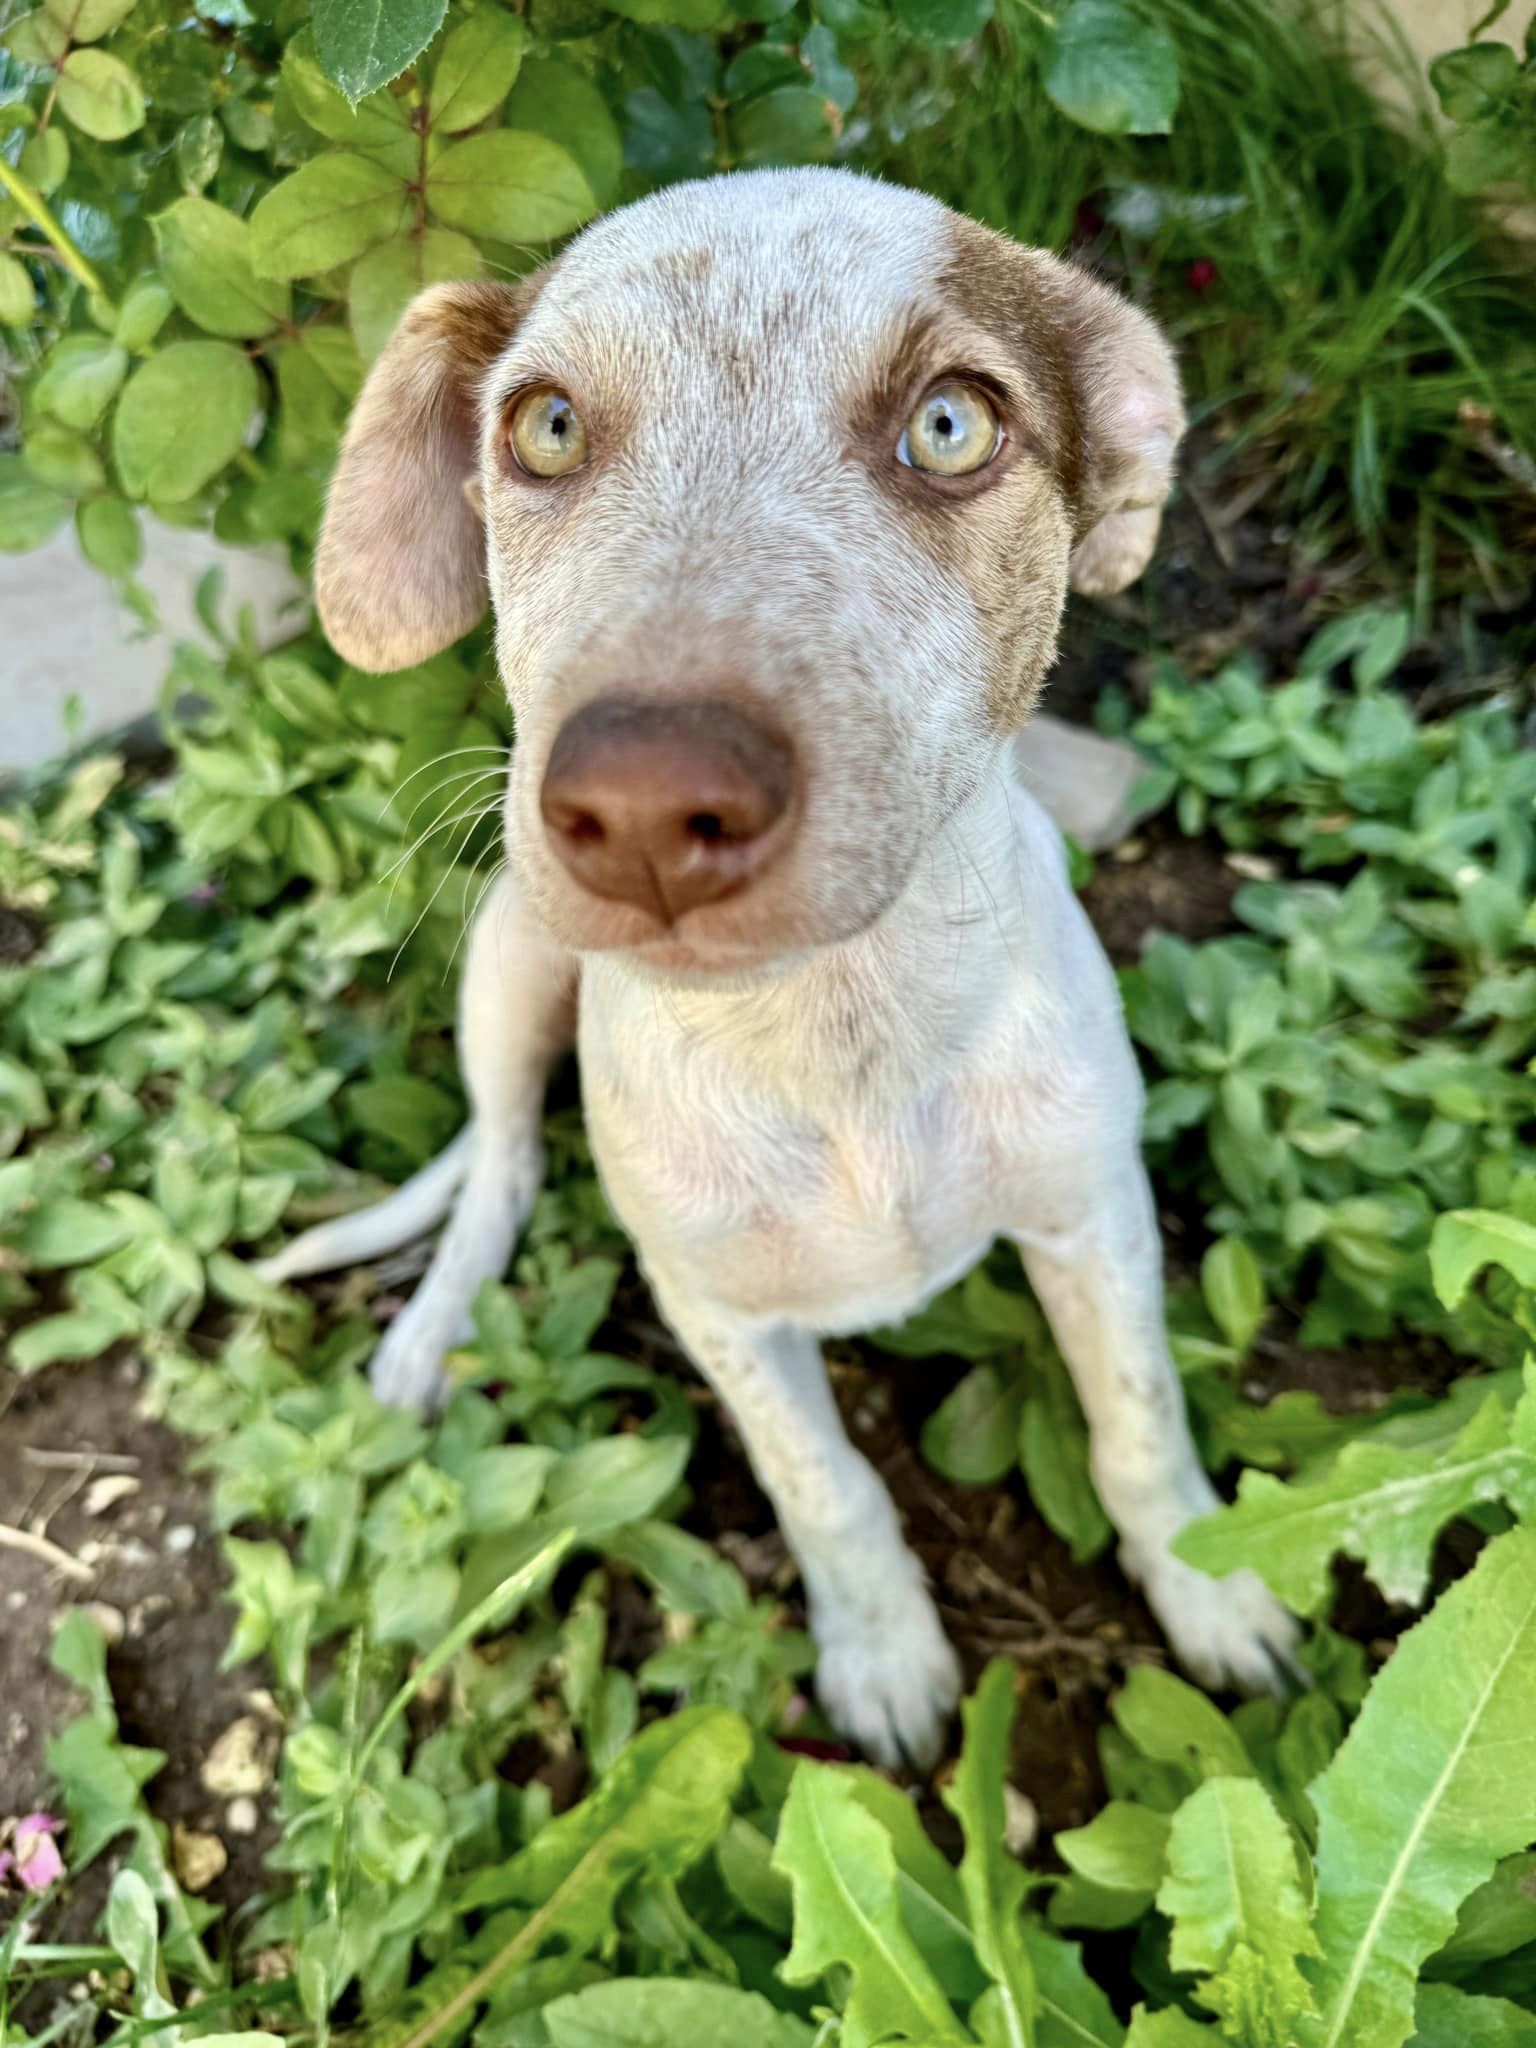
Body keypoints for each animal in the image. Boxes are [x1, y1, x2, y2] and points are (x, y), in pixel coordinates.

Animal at [262, 167, 1302, 1769]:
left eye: (953, 424)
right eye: (545, 427)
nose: (641, 808)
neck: (839, 1034)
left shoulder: (1095, 1212)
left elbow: (1141, 1428)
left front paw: (1207, 1587)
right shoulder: (720, 1313)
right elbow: (830, 1489)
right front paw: (882, 1653)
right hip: (511, 957)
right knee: (502, 1156)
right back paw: (432, 1329)